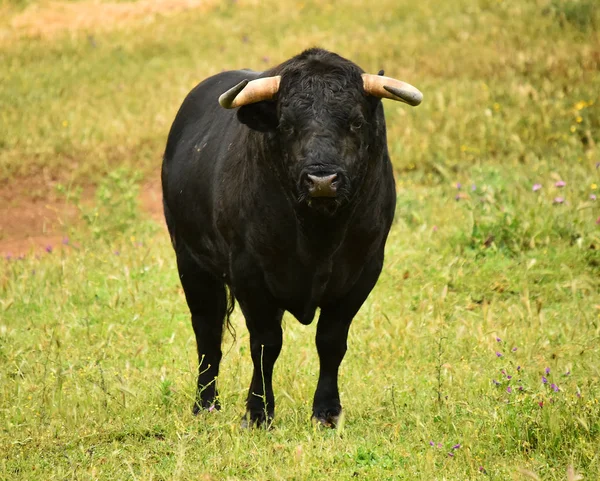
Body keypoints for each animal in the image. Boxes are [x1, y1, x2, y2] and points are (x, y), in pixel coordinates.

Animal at [161, 47, 422, 424]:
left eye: (356, 122)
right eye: (286, 125)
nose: (322, 180)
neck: (318, 235)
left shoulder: (363, 272)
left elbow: (331, 342)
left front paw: (327, 411)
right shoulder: (249, 274)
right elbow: (265, 344)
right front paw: (258, 412)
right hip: (191, 262)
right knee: (207, 334)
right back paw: (205, 404)